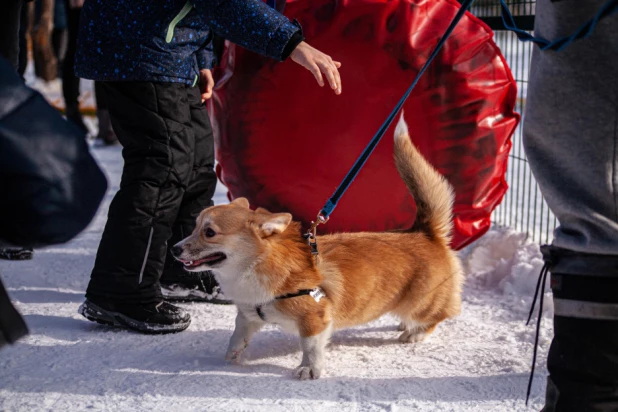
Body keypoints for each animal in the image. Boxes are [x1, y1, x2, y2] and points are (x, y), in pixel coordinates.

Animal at [171, 115, 460, 380]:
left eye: (209, 232)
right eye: (195, 227)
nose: (174, 249)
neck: (256, 265)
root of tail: (425, 231)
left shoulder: (314, 319)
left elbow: (310, 348)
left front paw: (309, 370)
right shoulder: (248, 315)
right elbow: (237, 335)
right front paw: (232, 356)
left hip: (421, 302)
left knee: (442, 314)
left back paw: (415, 333)